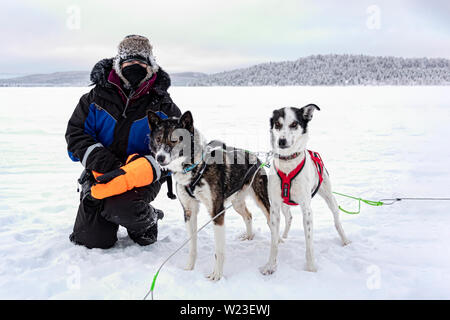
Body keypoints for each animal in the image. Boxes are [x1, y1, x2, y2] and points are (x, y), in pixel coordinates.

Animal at [148, 110, 270, 280]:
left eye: (174, 139)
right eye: (158, 139)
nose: (160, 157)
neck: (196, 168)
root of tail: (254, 156)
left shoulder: (217, 212)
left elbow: (218, 250)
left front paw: (217, 275)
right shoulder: (189, 212)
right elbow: (192, 246)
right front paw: (189, 269)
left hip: (261, 199)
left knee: (272, 220)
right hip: (237, 202)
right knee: (248, 215)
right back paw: (249, 236)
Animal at [260, 105, 352, 276]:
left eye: (294, 124)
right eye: (277, 124)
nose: (281, 141)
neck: (287, 164)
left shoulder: (307, 210)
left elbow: (309, 243)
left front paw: (310, 268)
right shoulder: (274, 207)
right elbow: (273, 242)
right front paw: (270, 266)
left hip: (329, 196)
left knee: (337, 220)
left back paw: (345, 240)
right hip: (284, 205)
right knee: (289, 217)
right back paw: (284, 235)